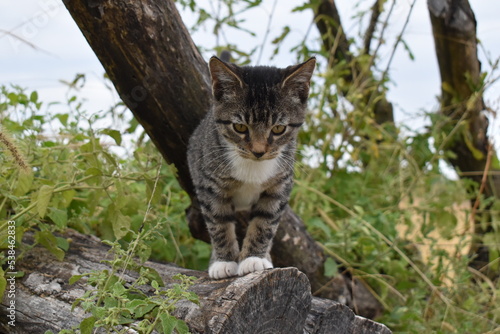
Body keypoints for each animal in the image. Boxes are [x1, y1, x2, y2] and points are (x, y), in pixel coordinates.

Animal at [188, 55, 316, 280]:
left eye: (278, 128)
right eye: (240, 127)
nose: (259, 151)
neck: (253, 167)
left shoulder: (280, 185)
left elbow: (266, 221)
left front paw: (254, 259)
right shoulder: (209, 184)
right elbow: (218, 222)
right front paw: (224, 261)